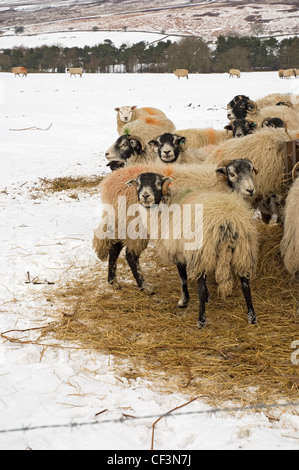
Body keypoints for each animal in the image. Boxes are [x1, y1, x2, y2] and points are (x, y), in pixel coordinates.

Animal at [93, 160, 258, 296]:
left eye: (251, 171)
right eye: (232, 174)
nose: (251, 190)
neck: (221, 184)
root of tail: (111, 181)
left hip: (122, 222)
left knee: (115, 248)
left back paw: (113, 282)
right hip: (134, 224)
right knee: (130, 255)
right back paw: (144, 286)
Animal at [127, 171, 258, 328]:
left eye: (158, 183)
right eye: (138, 183)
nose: (145, 196)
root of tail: (226, 219)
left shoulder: (178, 252)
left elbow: (183, 279)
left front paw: (184, 301)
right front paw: (207, 297)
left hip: (201, 252)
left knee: (200, 288)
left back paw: (201, 320)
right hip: (243, 251)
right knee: (245, 284)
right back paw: (252, 317)